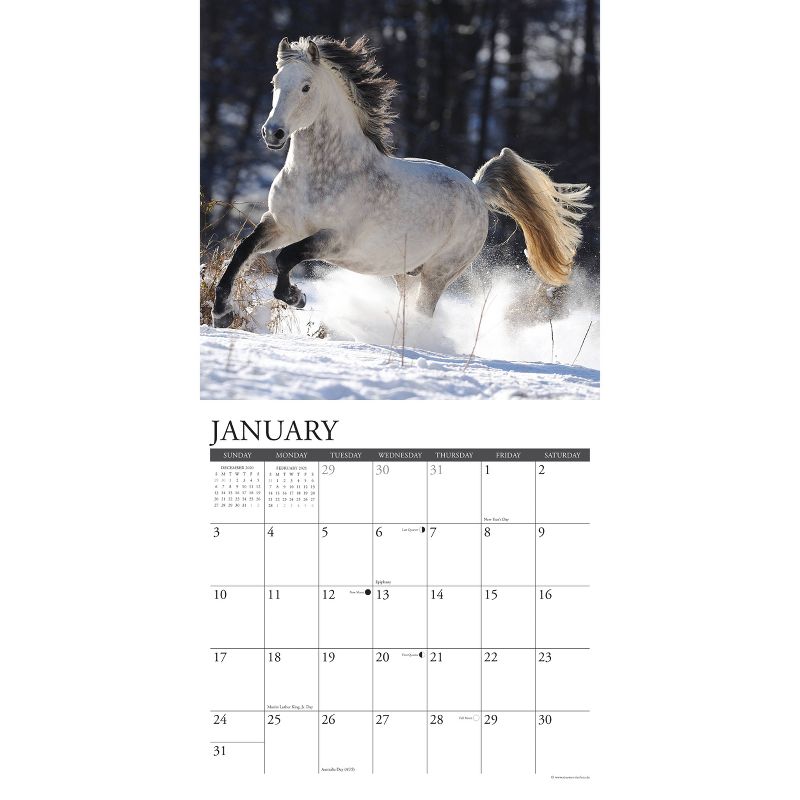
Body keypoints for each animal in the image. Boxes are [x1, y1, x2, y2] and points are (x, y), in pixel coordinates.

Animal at [212, 35, 590, 328]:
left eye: (306, 87)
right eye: (275, 84)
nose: (272, 133)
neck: (323, 176)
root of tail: (476, 190)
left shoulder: (334, 240)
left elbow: (286, 258)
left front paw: (297, 297)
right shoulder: (281, 224)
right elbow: (245, 249)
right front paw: (222, 314)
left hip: (438, 273)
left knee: (424, 310)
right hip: (402, 270)